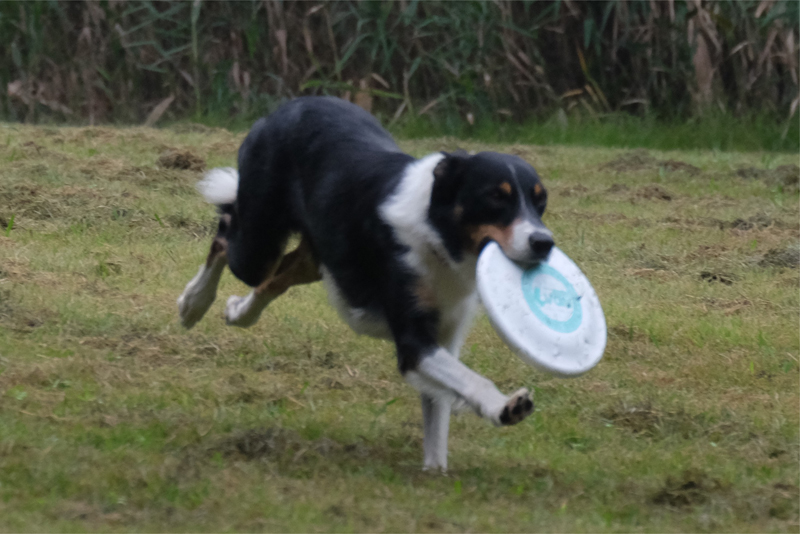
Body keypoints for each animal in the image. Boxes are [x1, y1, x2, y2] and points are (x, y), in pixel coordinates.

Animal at [176, 97, 552, 474]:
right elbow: (470, 379)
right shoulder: (414, 341)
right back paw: (193, 303)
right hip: (258, 245)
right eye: (495, 197)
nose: (544, 243)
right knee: (225, 234)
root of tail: (290, 105)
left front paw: (435, 470)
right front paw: (504, 406)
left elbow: (438, 408)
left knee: (273, 279)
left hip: (314, 259)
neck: (437, 234)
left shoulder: (446, 331)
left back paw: (237, 311)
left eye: (540, 202)